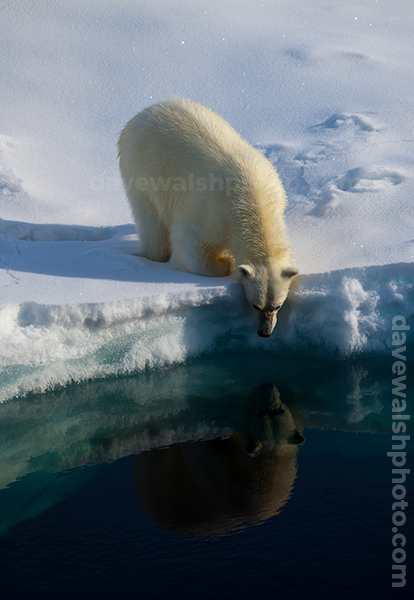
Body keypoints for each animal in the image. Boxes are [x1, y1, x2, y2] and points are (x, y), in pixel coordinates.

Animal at [117, 96, 298, 336]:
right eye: (255, 305)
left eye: (277, 305)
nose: (264, 332)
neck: (254, 203)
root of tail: (143, 113)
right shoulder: (212, 213)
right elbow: (191, 247)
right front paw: (226, 263)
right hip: (142, 169)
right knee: (151, 221)